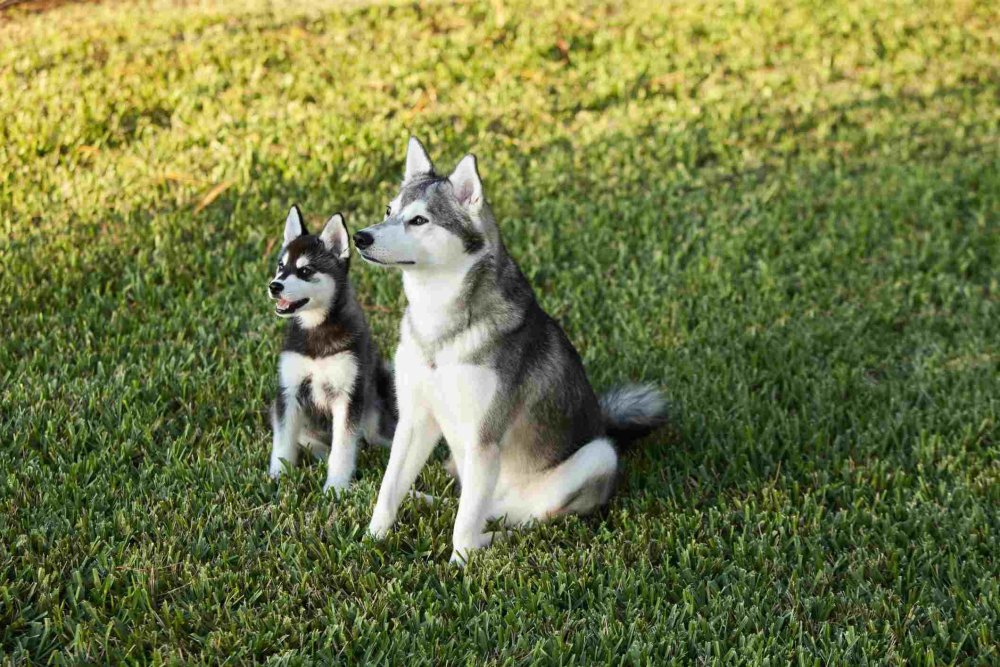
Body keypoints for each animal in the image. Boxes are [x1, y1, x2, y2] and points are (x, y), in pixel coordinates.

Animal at [268, 206, 396, 494]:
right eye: (281, 267)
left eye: (305, 271)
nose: (274, 286)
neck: (317, 329)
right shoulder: (288, 391)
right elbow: (283, 441)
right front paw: (278, 476)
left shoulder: (347, 396)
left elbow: (343, 448)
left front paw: (336, 487)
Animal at [352, 137, 664, 564]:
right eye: (388, 211)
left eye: (419, 220)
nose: (360, 237)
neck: (441, 325)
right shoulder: (415, 419)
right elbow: (389, 488)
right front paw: (373, 539)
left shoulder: (484, 437)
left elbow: (464, 529)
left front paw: (459, 566)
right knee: (471, 504)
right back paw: (428, 501)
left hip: (596, 456)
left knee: (520, 520)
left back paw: (493, 541)